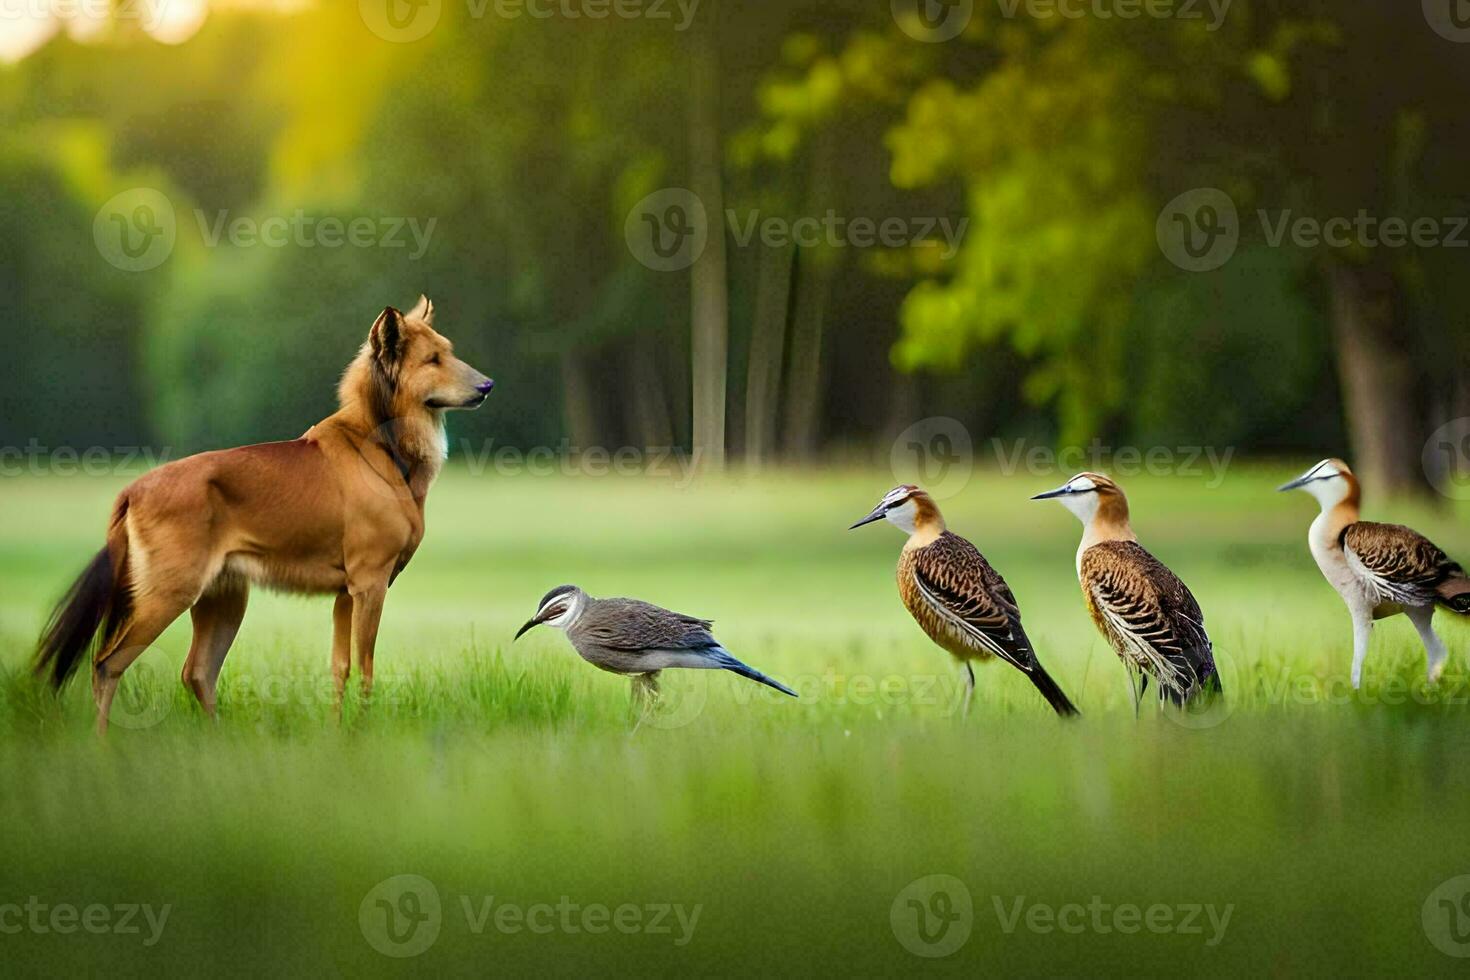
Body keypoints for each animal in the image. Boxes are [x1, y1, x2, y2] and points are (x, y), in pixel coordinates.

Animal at [33, 295, 493, 731]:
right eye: (432, 360)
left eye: (448, 352)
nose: (487, 385)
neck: (380, 445)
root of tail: (132, 490)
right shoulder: (370, 583)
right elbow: (365, 669)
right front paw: (361, 733)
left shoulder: (345, 593)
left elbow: (340, 669)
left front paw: (337, 734)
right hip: (169, 593)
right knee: (106, 665)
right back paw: (103, 744)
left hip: (223, 598)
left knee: (197, 672)